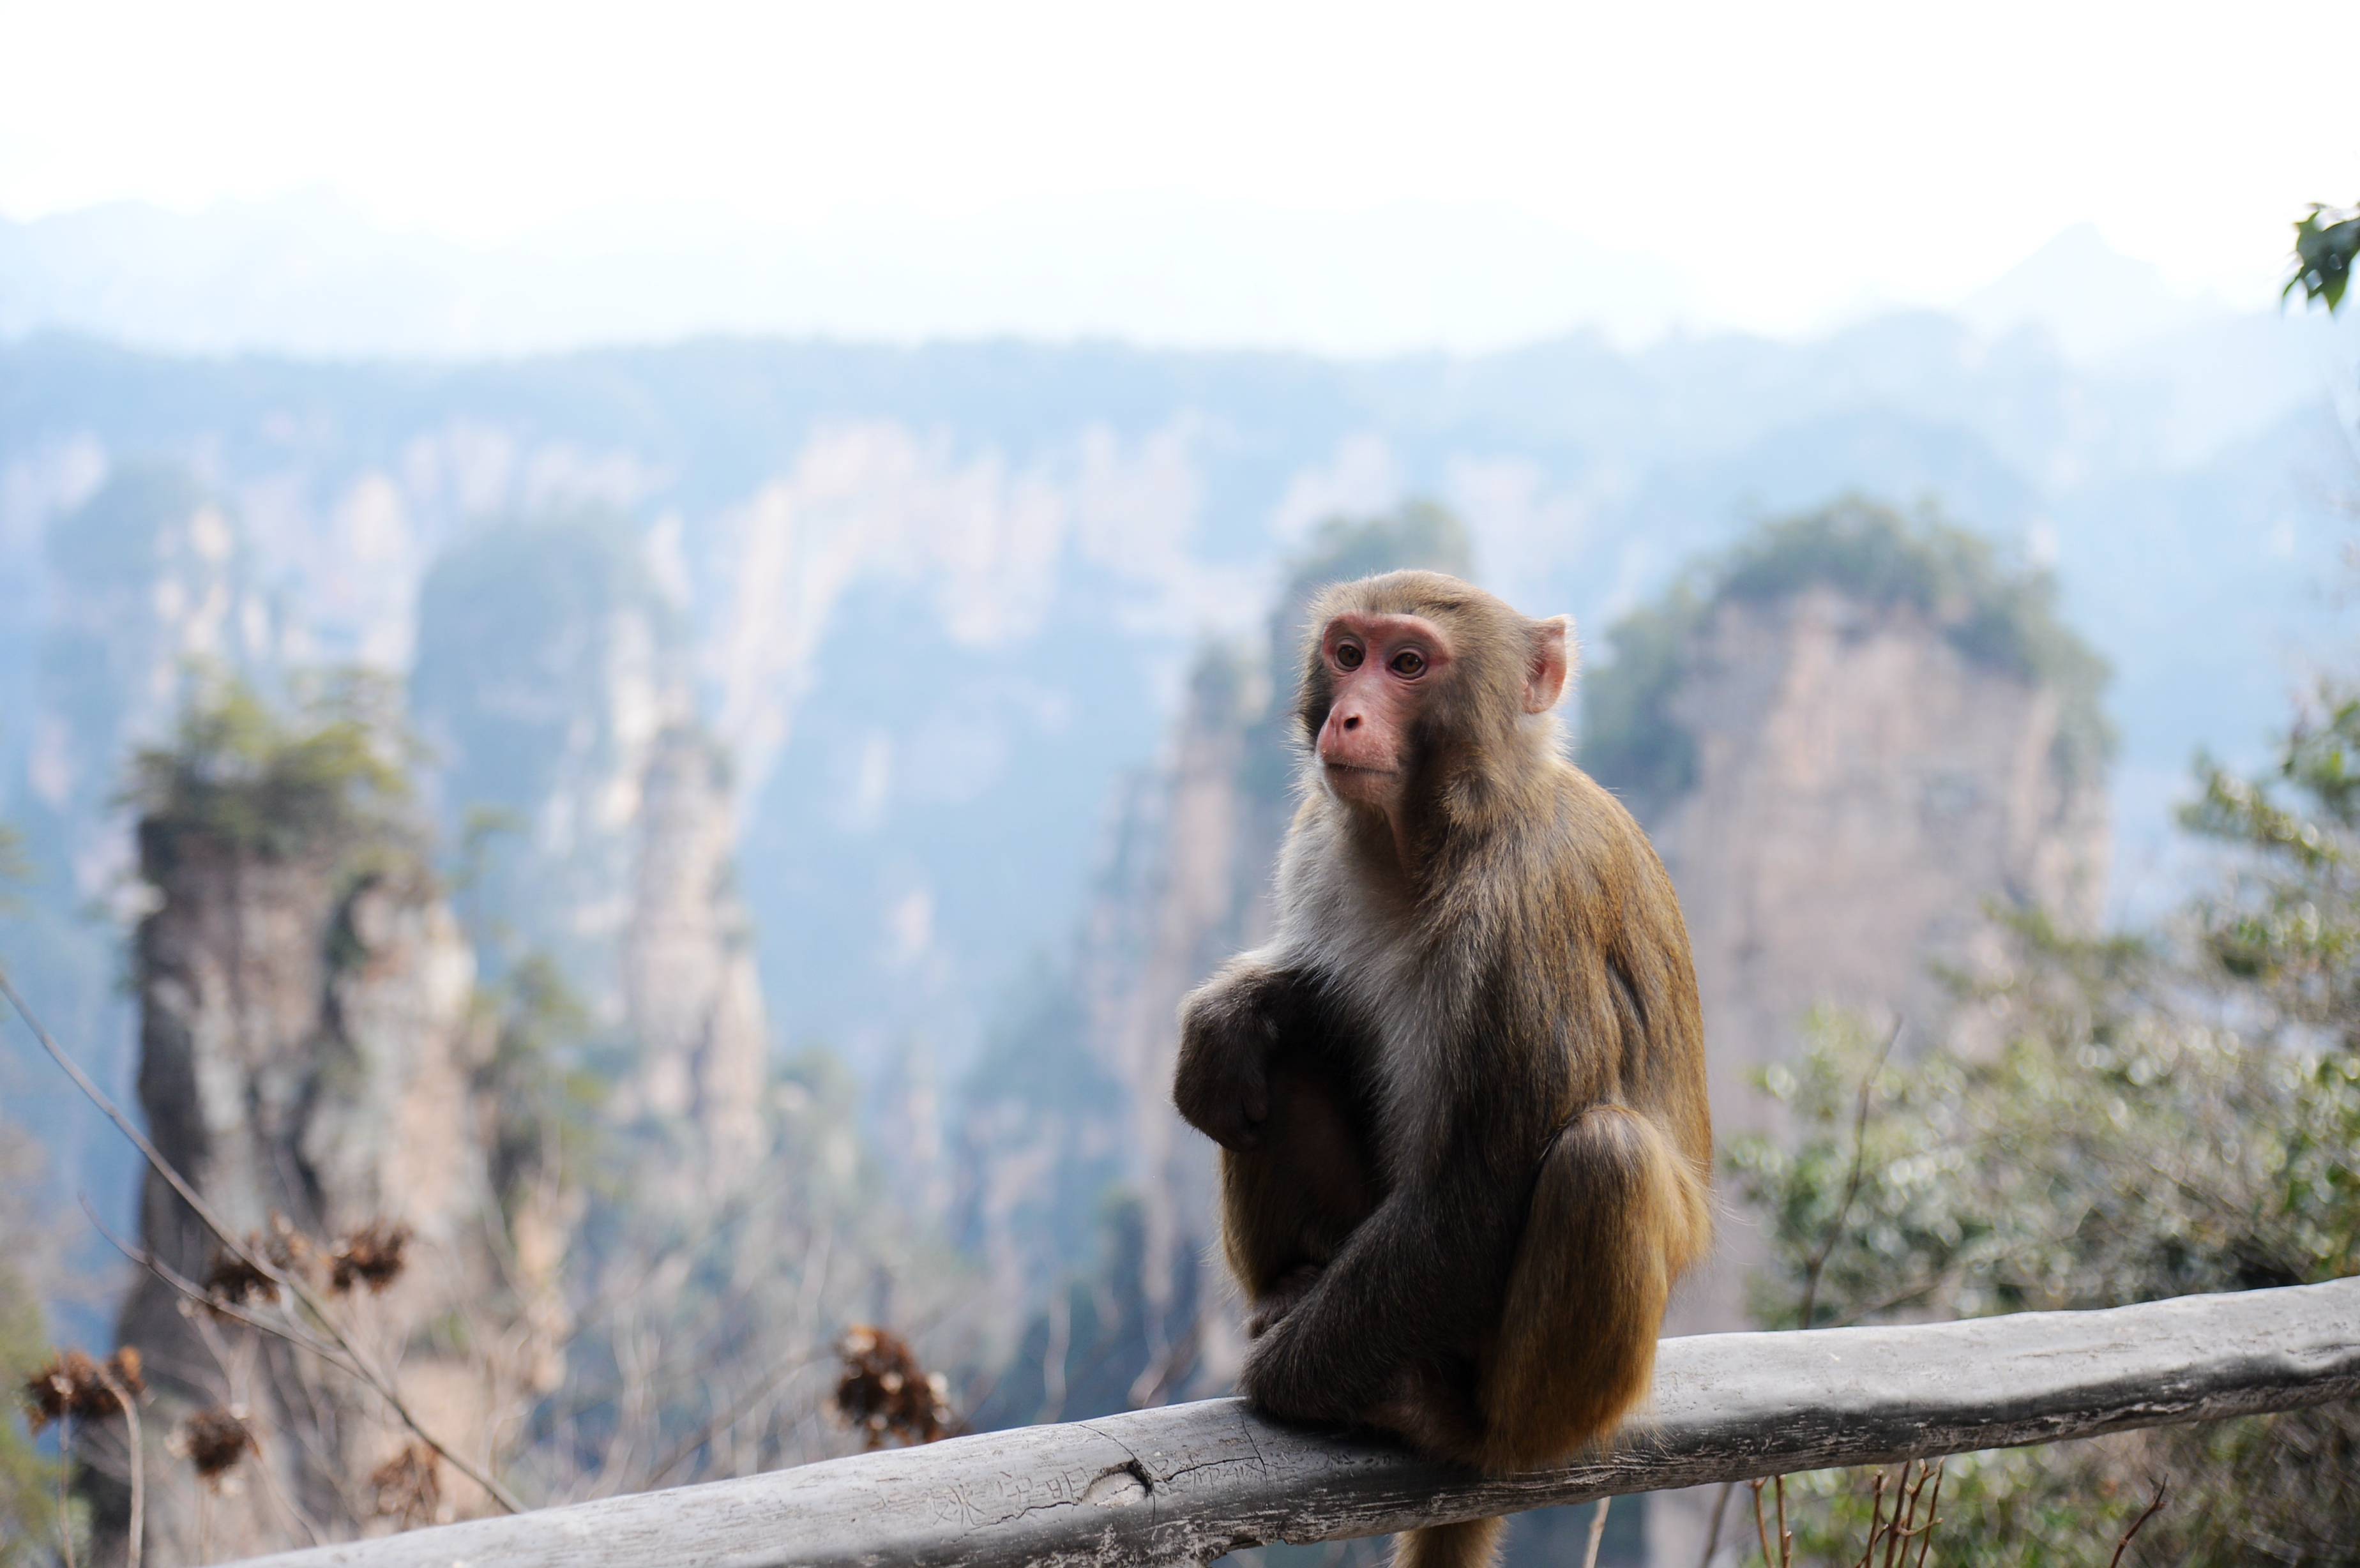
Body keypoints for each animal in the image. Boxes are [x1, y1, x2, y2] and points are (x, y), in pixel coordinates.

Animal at [1170, 568, 1708, 1556]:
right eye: (1349, 653)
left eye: (1409, 665)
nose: (1347, 716)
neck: (1437, 831)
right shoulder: (1320, 828)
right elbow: (1312, 1001)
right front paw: (1230, 1014)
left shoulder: (1527, 917)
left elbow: (1473, 1202)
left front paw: (1276, 1378)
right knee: (1275, 1070)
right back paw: (1286, 1279)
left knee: (1604, 1158)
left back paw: (1466, 1430)